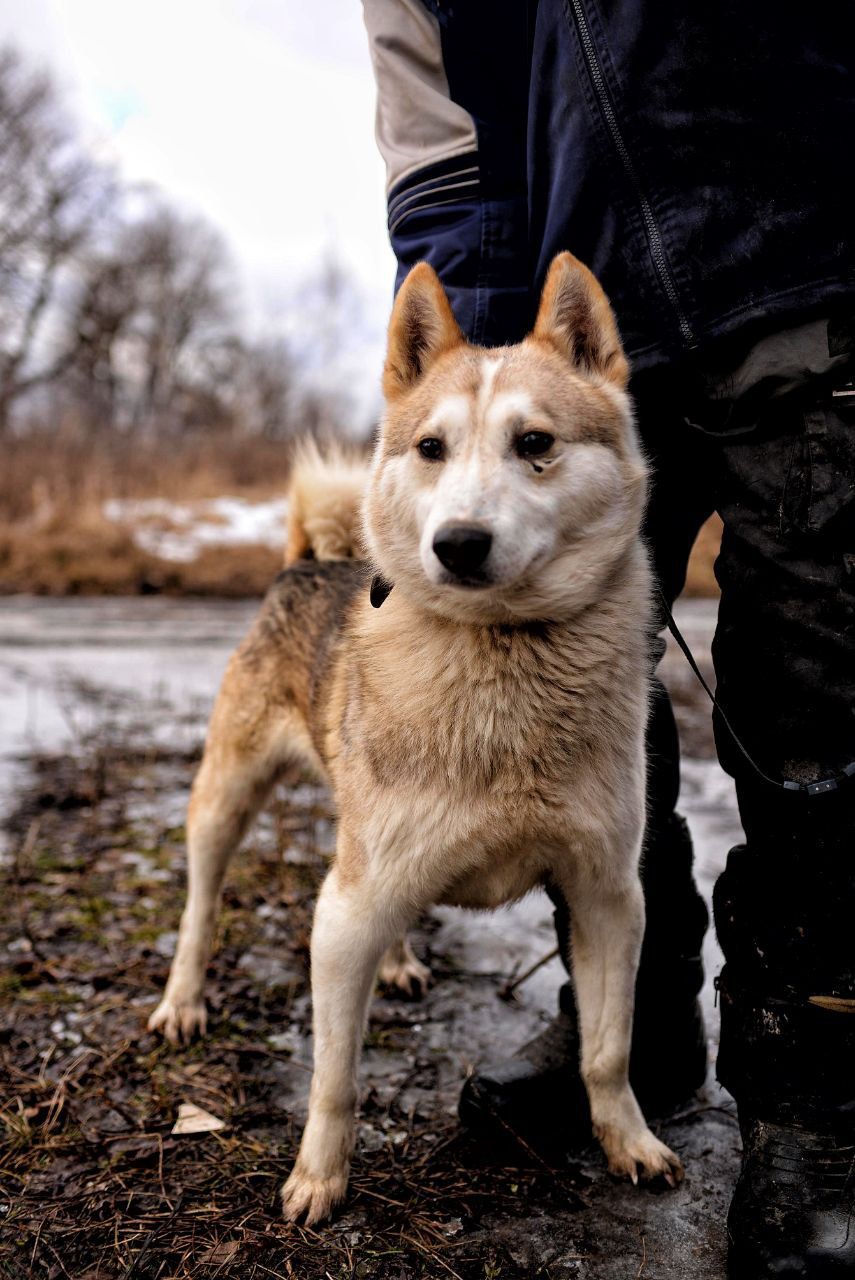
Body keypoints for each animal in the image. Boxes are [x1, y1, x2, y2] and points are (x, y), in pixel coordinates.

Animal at [147, 249, 680, 1218]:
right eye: (430, 448)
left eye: (534, 443)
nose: (457, 544)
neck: (505, 656)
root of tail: (306, 563)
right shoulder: (343, 914)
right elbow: (334, 1076)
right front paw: (318, 1180)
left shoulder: (608, 895)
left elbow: (608, 1048)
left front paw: (627, 1141)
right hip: (226, 800)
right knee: (201, 906)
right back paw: (182, 1000)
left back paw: (395, 962)